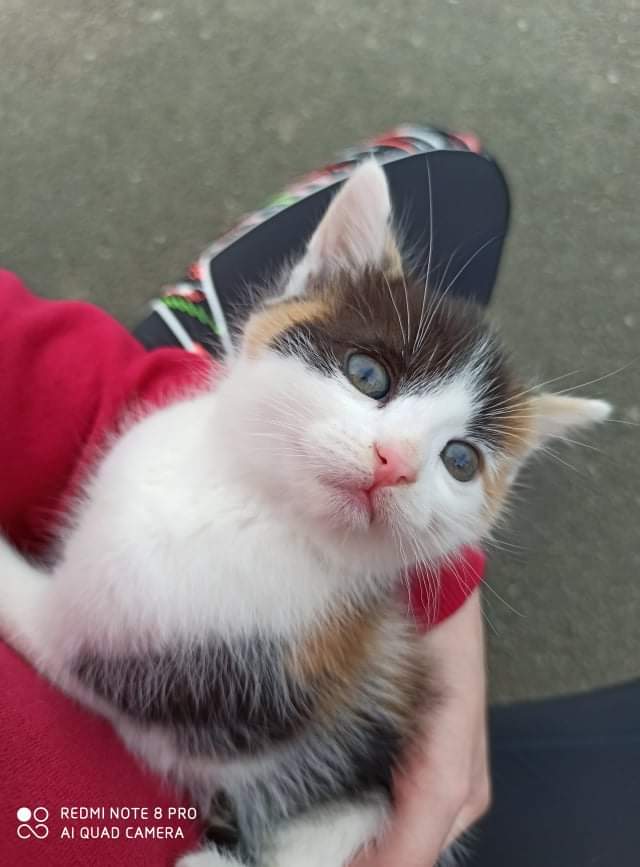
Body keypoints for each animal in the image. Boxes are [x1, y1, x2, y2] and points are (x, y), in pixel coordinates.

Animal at [0, 160, 610, 867]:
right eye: (367, 375)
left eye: (460, 460)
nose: (395, 462)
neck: (250, 505)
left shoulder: (150, 672)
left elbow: (42, 629)